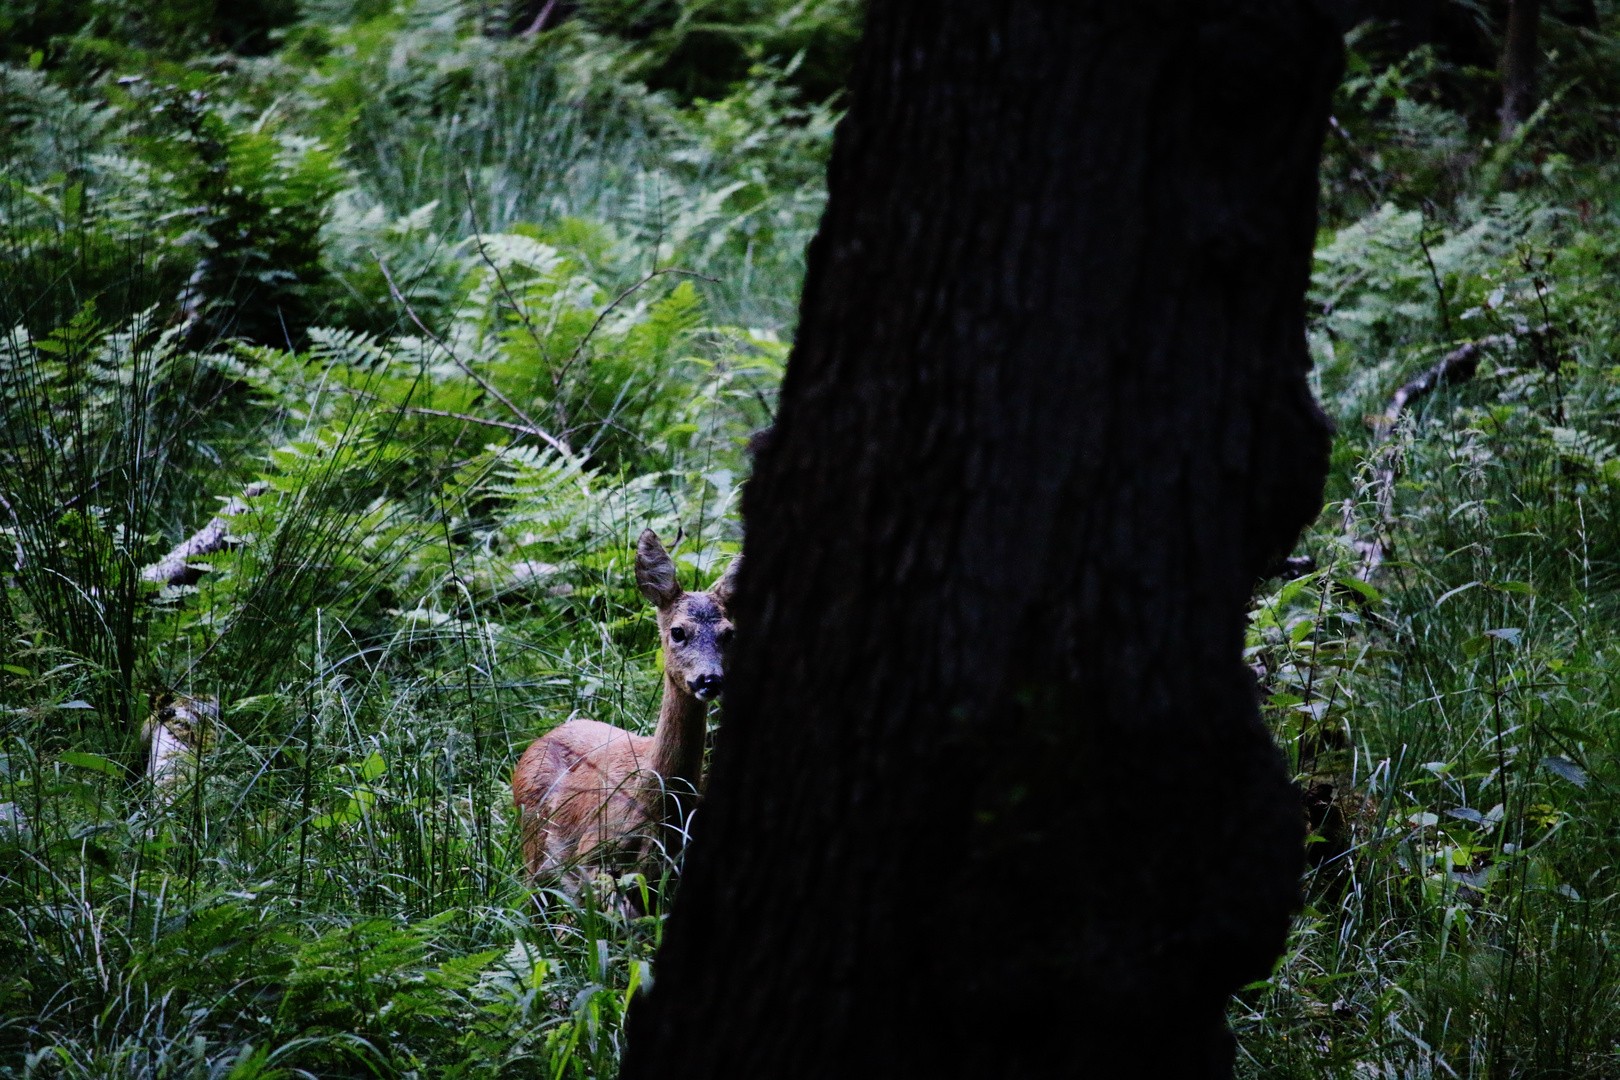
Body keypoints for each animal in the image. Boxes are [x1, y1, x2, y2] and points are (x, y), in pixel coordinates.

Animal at [511, 531, 741, 906]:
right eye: (678, 632)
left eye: (728, 633)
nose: (709, 679)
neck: (661, 808)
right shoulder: (592, 857)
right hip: (533, 847)